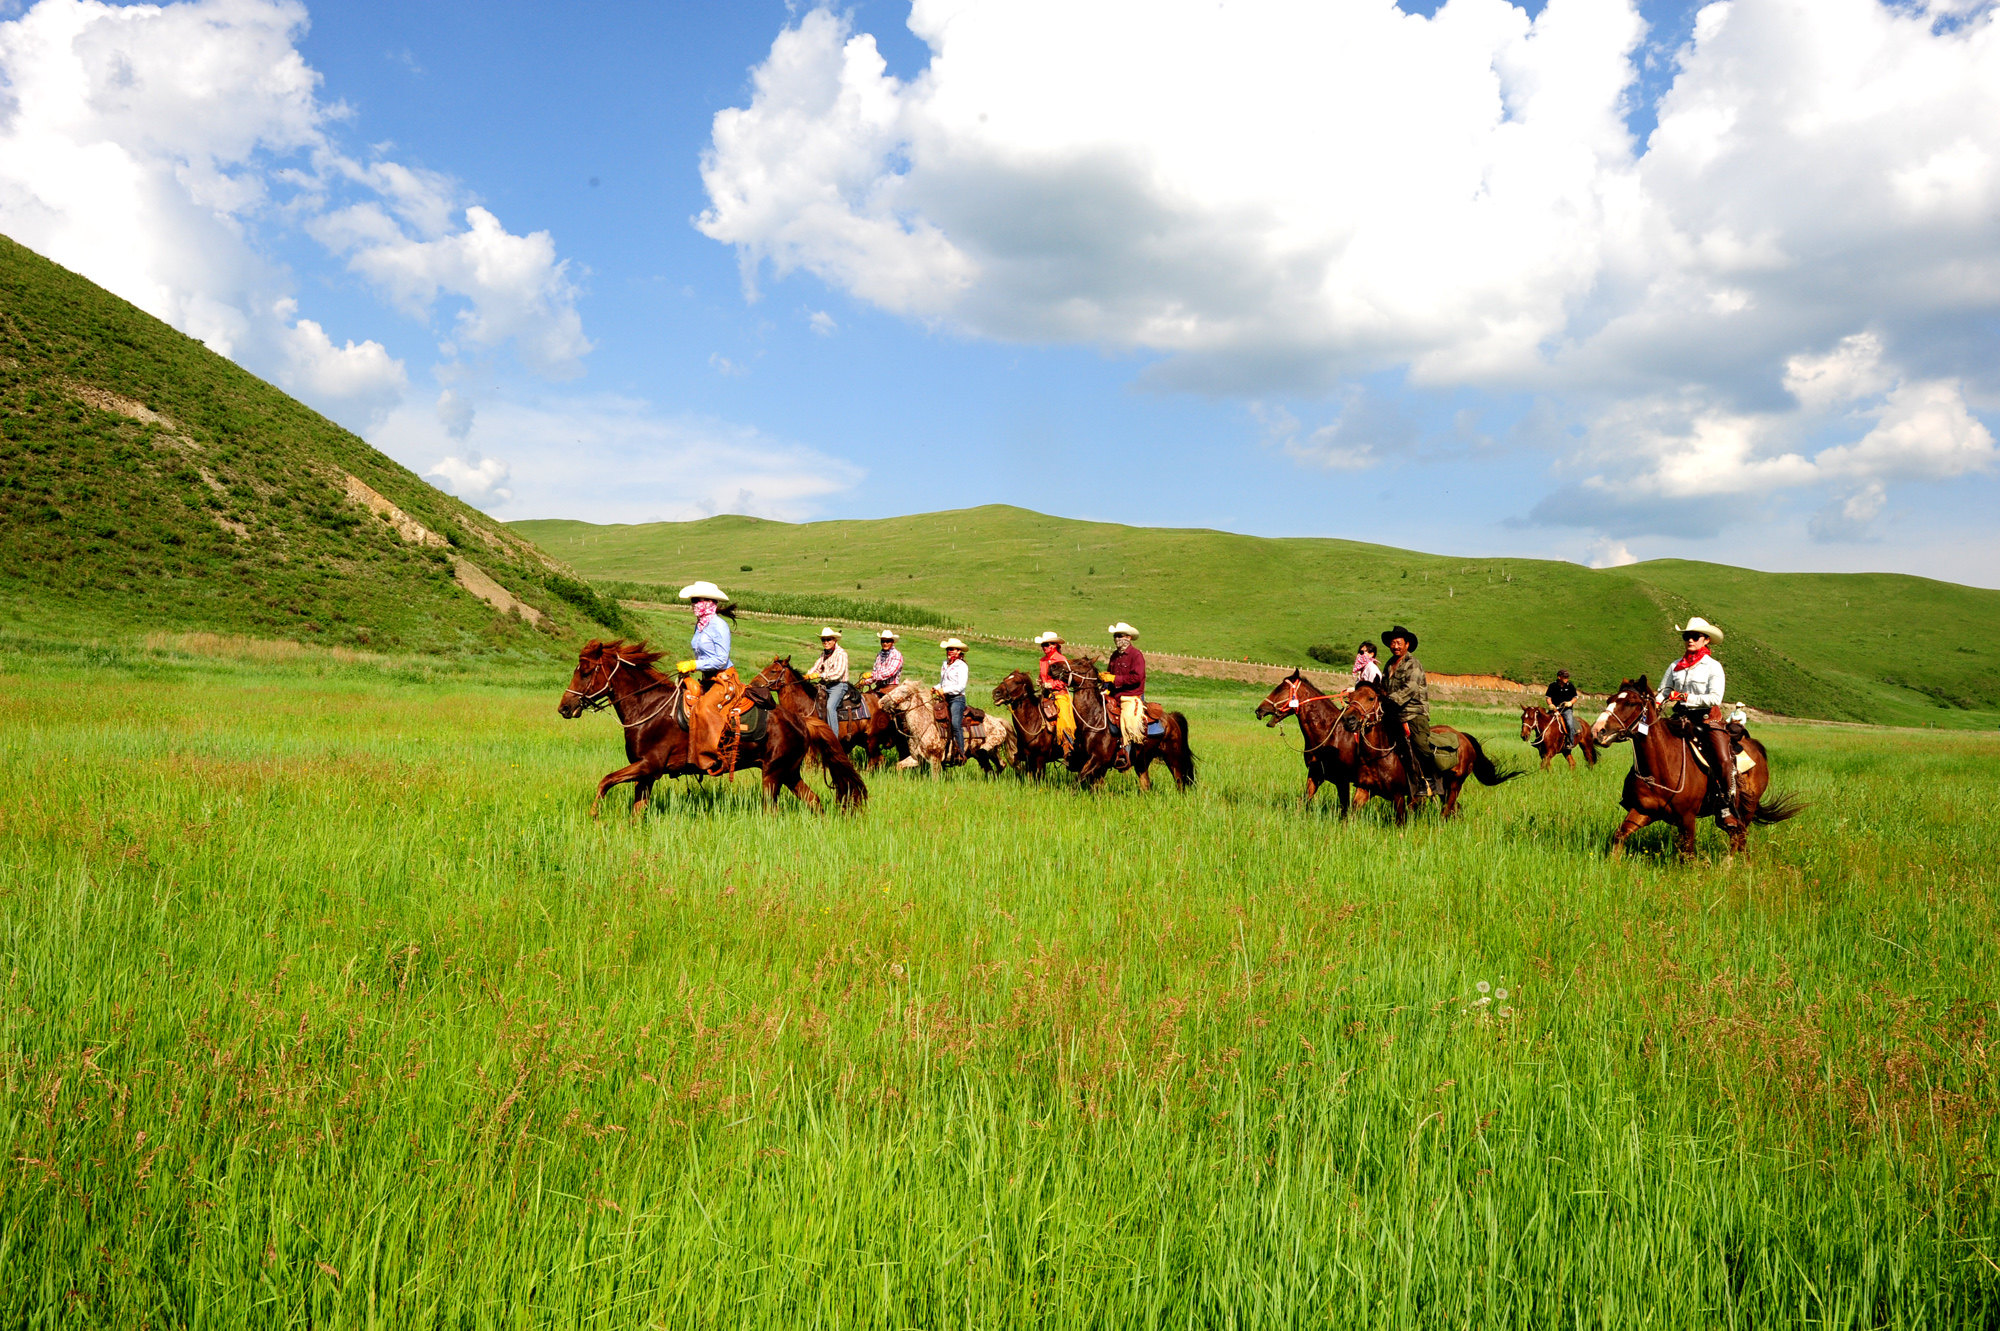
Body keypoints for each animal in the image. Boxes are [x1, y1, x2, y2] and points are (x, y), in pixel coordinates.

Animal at [556, 639, 868, 815]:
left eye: (586, 671)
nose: (564, 708)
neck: (648, 707)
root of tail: (801, 721)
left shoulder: (648, 766)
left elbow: (605, 781)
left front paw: (594, 815)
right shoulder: (646, 775)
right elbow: (635, 809)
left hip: (773, 774)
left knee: (773, 810)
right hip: (789, 773)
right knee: (814, 802)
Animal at [1056, 655, 1192, 787]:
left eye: (1079, 663)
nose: (1054, 666)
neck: (1093, 719)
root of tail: (1171, 718)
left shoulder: (1097, 760)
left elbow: (1077, 782)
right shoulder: (1092, 763)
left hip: (1173, 757)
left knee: (1180, 782)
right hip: (1142, 760)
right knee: (1146, 784)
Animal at [1248, 675, 1376, 807]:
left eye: (1280, 689)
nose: (1259, 710)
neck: (1331, 734)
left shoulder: (1342, 780)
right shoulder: (1315, 773)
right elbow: (1305, 799)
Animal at [1336, 683, 1520, 819]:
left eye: (1371, 698)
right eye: (1350, 698)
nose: (1348, 719)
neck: (1380, 756)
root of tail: (1464, 737)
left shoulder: (1400, 796)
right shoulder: (1363, 790)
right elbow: (1350, 815)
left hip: (1455, 785)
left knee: (1447, 810)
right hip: (1445, 788)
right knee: (1454, 809)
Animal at [1592, 679, 1800, 855]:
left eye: (1631, 703)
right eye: (1609, 700)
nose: (1597, 731)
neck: (1662, 766)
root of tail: (1756, 747)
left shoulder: (1687, 818)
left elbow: (1687, 854)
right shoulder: (1644, 811)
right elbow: (1619, 835)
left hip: (1746, 810)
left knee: (1739, 836)